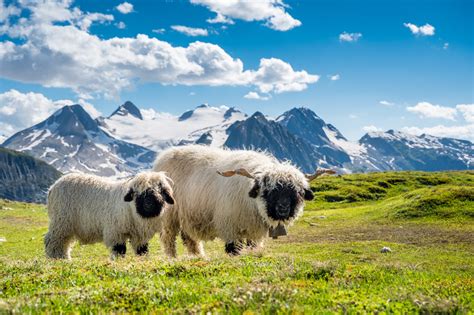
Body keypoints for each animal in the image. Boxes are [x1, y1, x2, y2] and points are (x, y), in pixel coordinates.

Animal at [43, 172, 174, 260]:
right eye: (137, 192)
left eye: (160, 190)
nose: (149, 203)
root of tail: (52, 187)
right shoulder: (115, 231)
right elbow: (120, 249)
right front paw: (119, 261)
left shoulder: (139, 236)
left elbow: (142, 250)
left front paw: (143, 259)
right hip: (61, 221)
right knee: (53, 240)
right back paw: (58, 258)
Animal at [154, 147, 332, 258]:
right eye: (269, 191)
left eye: (296, 192)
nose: (283, 208)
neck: (253, 203)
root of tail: (162, 157)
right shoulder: (230, 227)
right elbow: (234, 250)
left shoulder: (254, 232)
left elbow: (252, 247)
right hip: (169, 216)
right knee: (168, 239)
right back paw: (172, 258)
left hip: (187, 215)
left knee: (190, 239)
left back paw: (198, 257)